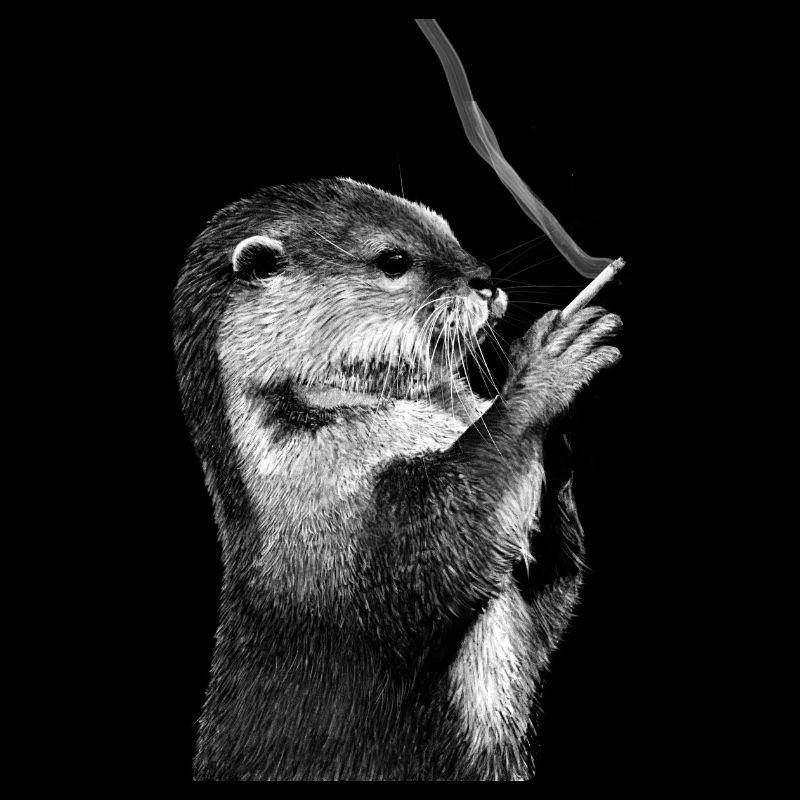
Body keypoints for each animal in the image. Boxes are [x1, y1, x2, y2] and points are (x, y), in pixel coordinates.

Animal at [172, 177, 621, 781]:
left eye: (449, 232)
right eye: (393, 260)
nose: (484, 280)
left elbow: (551, 590)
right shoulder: (335, 525)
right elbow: (450, 533)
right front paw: (544, 363)